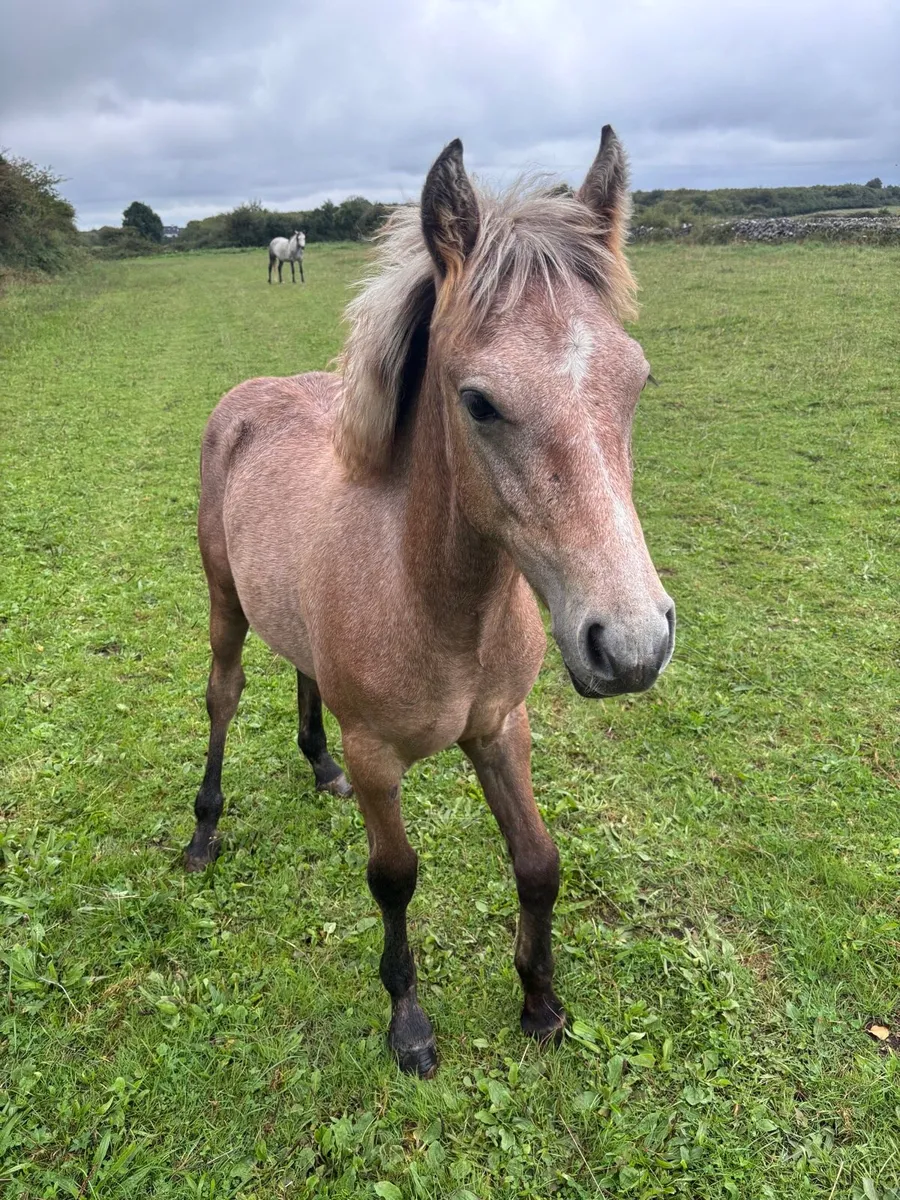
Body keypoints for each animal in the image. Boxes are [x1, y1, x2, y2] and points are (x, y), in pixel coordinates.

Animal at [185, 126, 675, 1078]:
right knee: (223, 696)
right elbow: (395, 877)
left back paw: (318, 767)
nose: (631, 645)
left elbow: (538, 861)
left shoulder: (501, 728)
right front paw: (408, 1023)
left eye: (638, 381)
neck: (439, 609)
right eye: (479, 401)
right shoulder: (379, 757)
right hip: (225, 601)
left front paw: (540, 1003)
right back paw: (203, 832)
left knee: (303, 675)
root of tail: (246, 395)